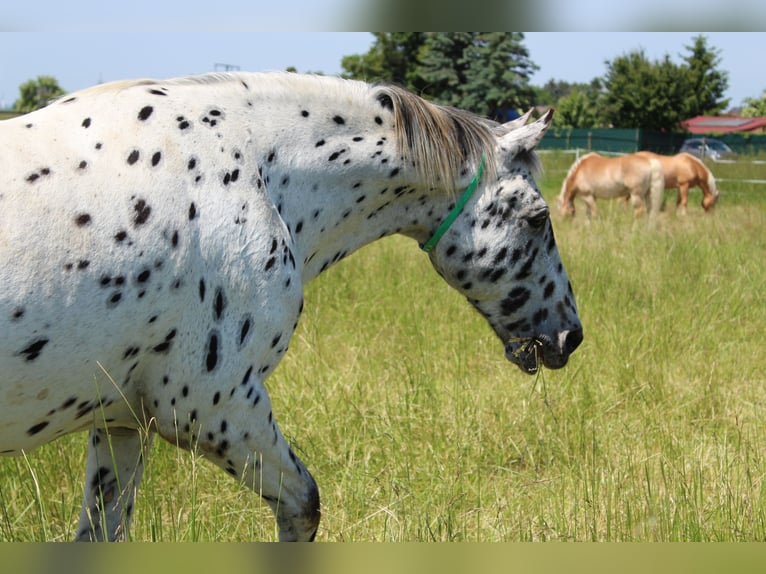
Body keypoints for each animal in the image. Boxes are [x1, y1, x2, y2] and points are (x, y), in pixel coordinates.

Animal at [0, 73, 584, 544]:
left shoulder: (123, 420)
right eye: (537, 217)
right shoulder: (214, 406)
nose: (570, 337)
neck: (252, 174)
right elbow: (305, 506)